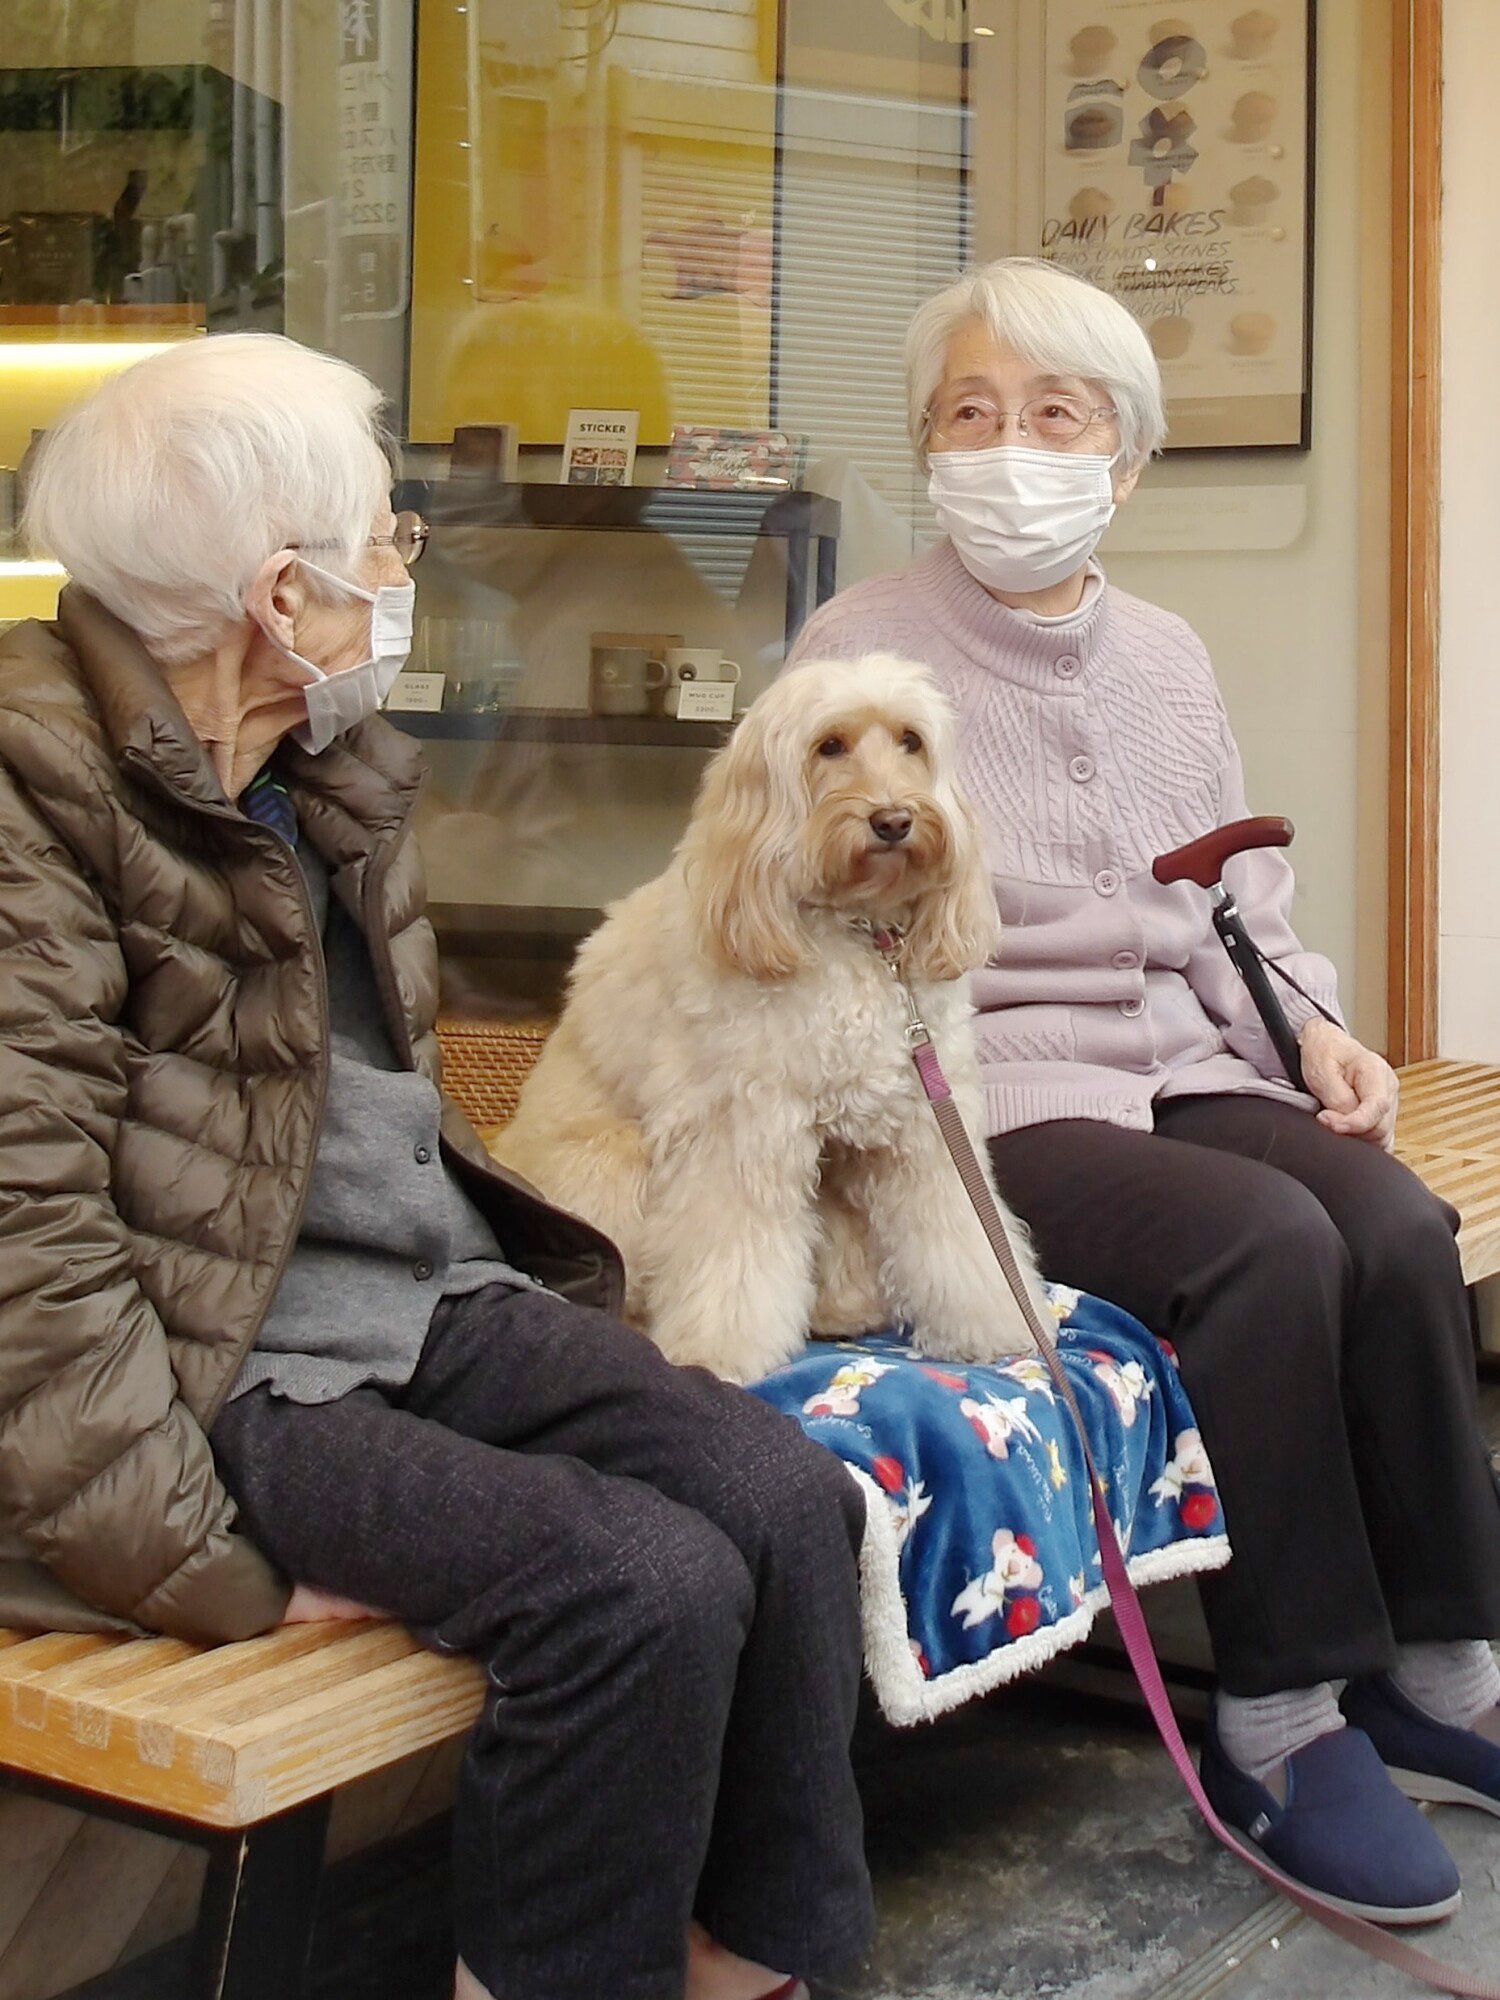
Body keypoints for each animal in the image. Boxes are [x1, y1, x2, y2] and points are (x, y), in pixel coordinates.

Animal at [494, 652, 1048, 1376]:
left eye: (911, 741)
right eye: (830, 746)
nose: (894, 820)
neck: (861, 937)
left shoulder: (926, 1127)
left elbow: (961, 1234)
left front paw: (1000, 1322)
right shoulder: (742, 1130)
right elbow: (733, 1248)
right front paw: (719, 1349)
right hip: (611, 1167)